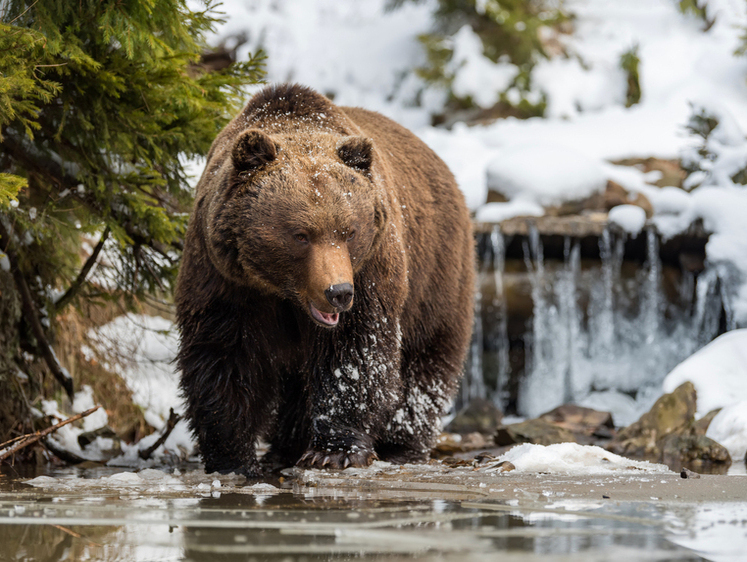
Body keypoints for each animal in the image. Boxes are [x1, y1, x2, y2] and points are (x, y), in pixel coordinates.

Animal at [177, 83, 474, 474]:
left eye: (349, 231)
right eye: (300, 234)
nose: (338, 292)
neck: (283, 293)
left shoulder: (370, 271)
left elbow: (354, 355)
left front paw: (335, 450)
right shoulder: (225, 278)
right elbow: (225, 354)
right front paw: (232, 456)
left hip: (436, 274)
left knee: (426, 359)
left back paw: (401, 445)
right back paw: (285, 447)